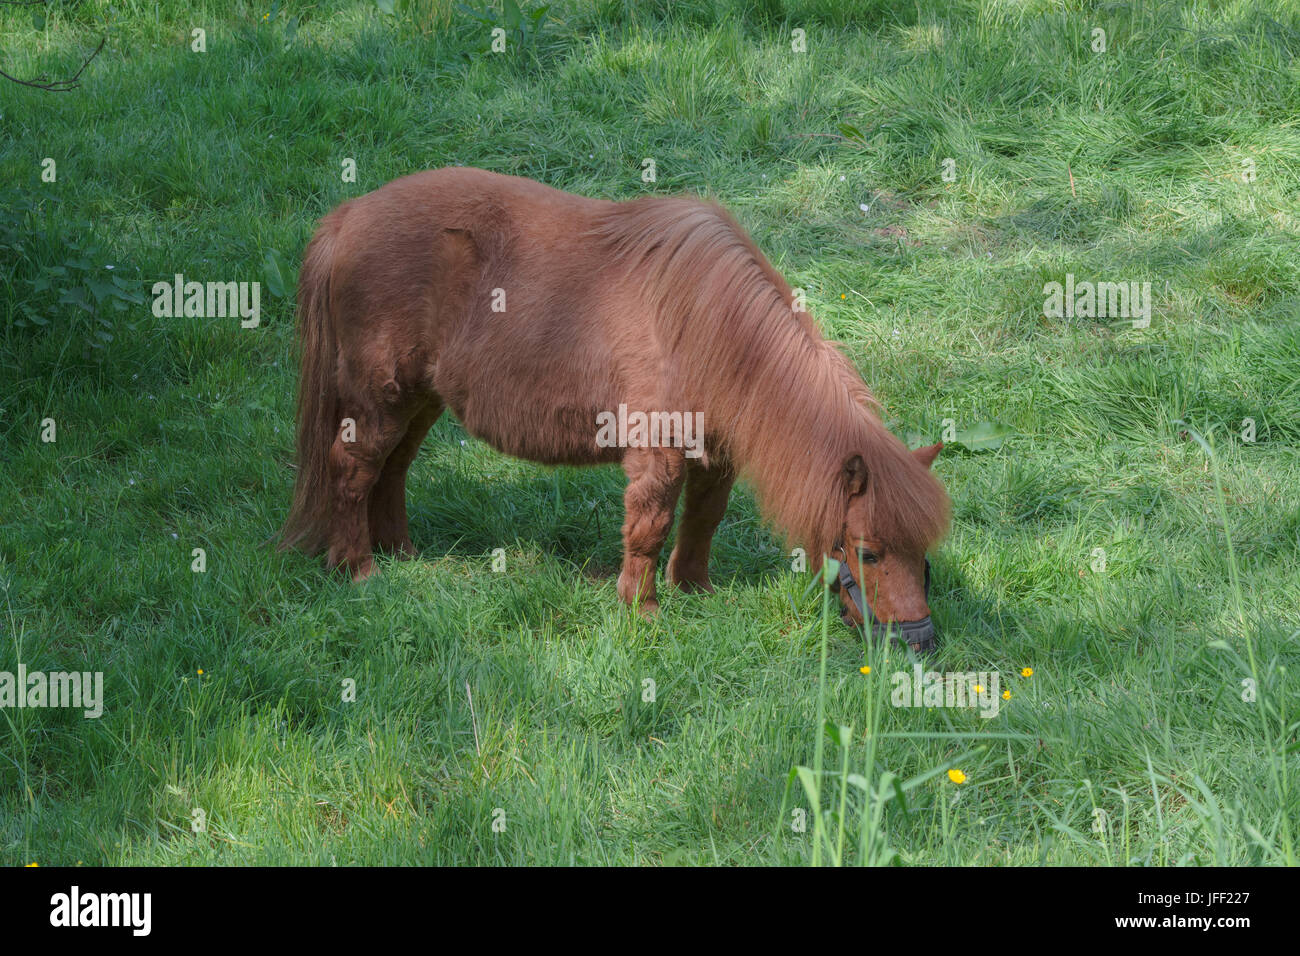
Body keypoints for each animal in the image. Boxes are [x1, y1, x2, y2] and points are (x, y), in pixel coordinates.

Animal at [282, 167, 956, 650]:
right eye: (867, 552)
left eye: (924, 548)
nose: (919, 640)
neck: (707, 325)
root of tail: (345, 219)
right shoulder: (657, 452)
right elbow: (649, 527)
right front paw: (643, 610)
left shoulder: (715, 455)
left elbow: (702, 521)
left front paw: (695, 592)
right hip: (380, 398)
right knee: (353, 472)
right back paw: (360, 570)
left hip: (420, 398)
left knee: (392, 470)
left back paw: (401, 554)